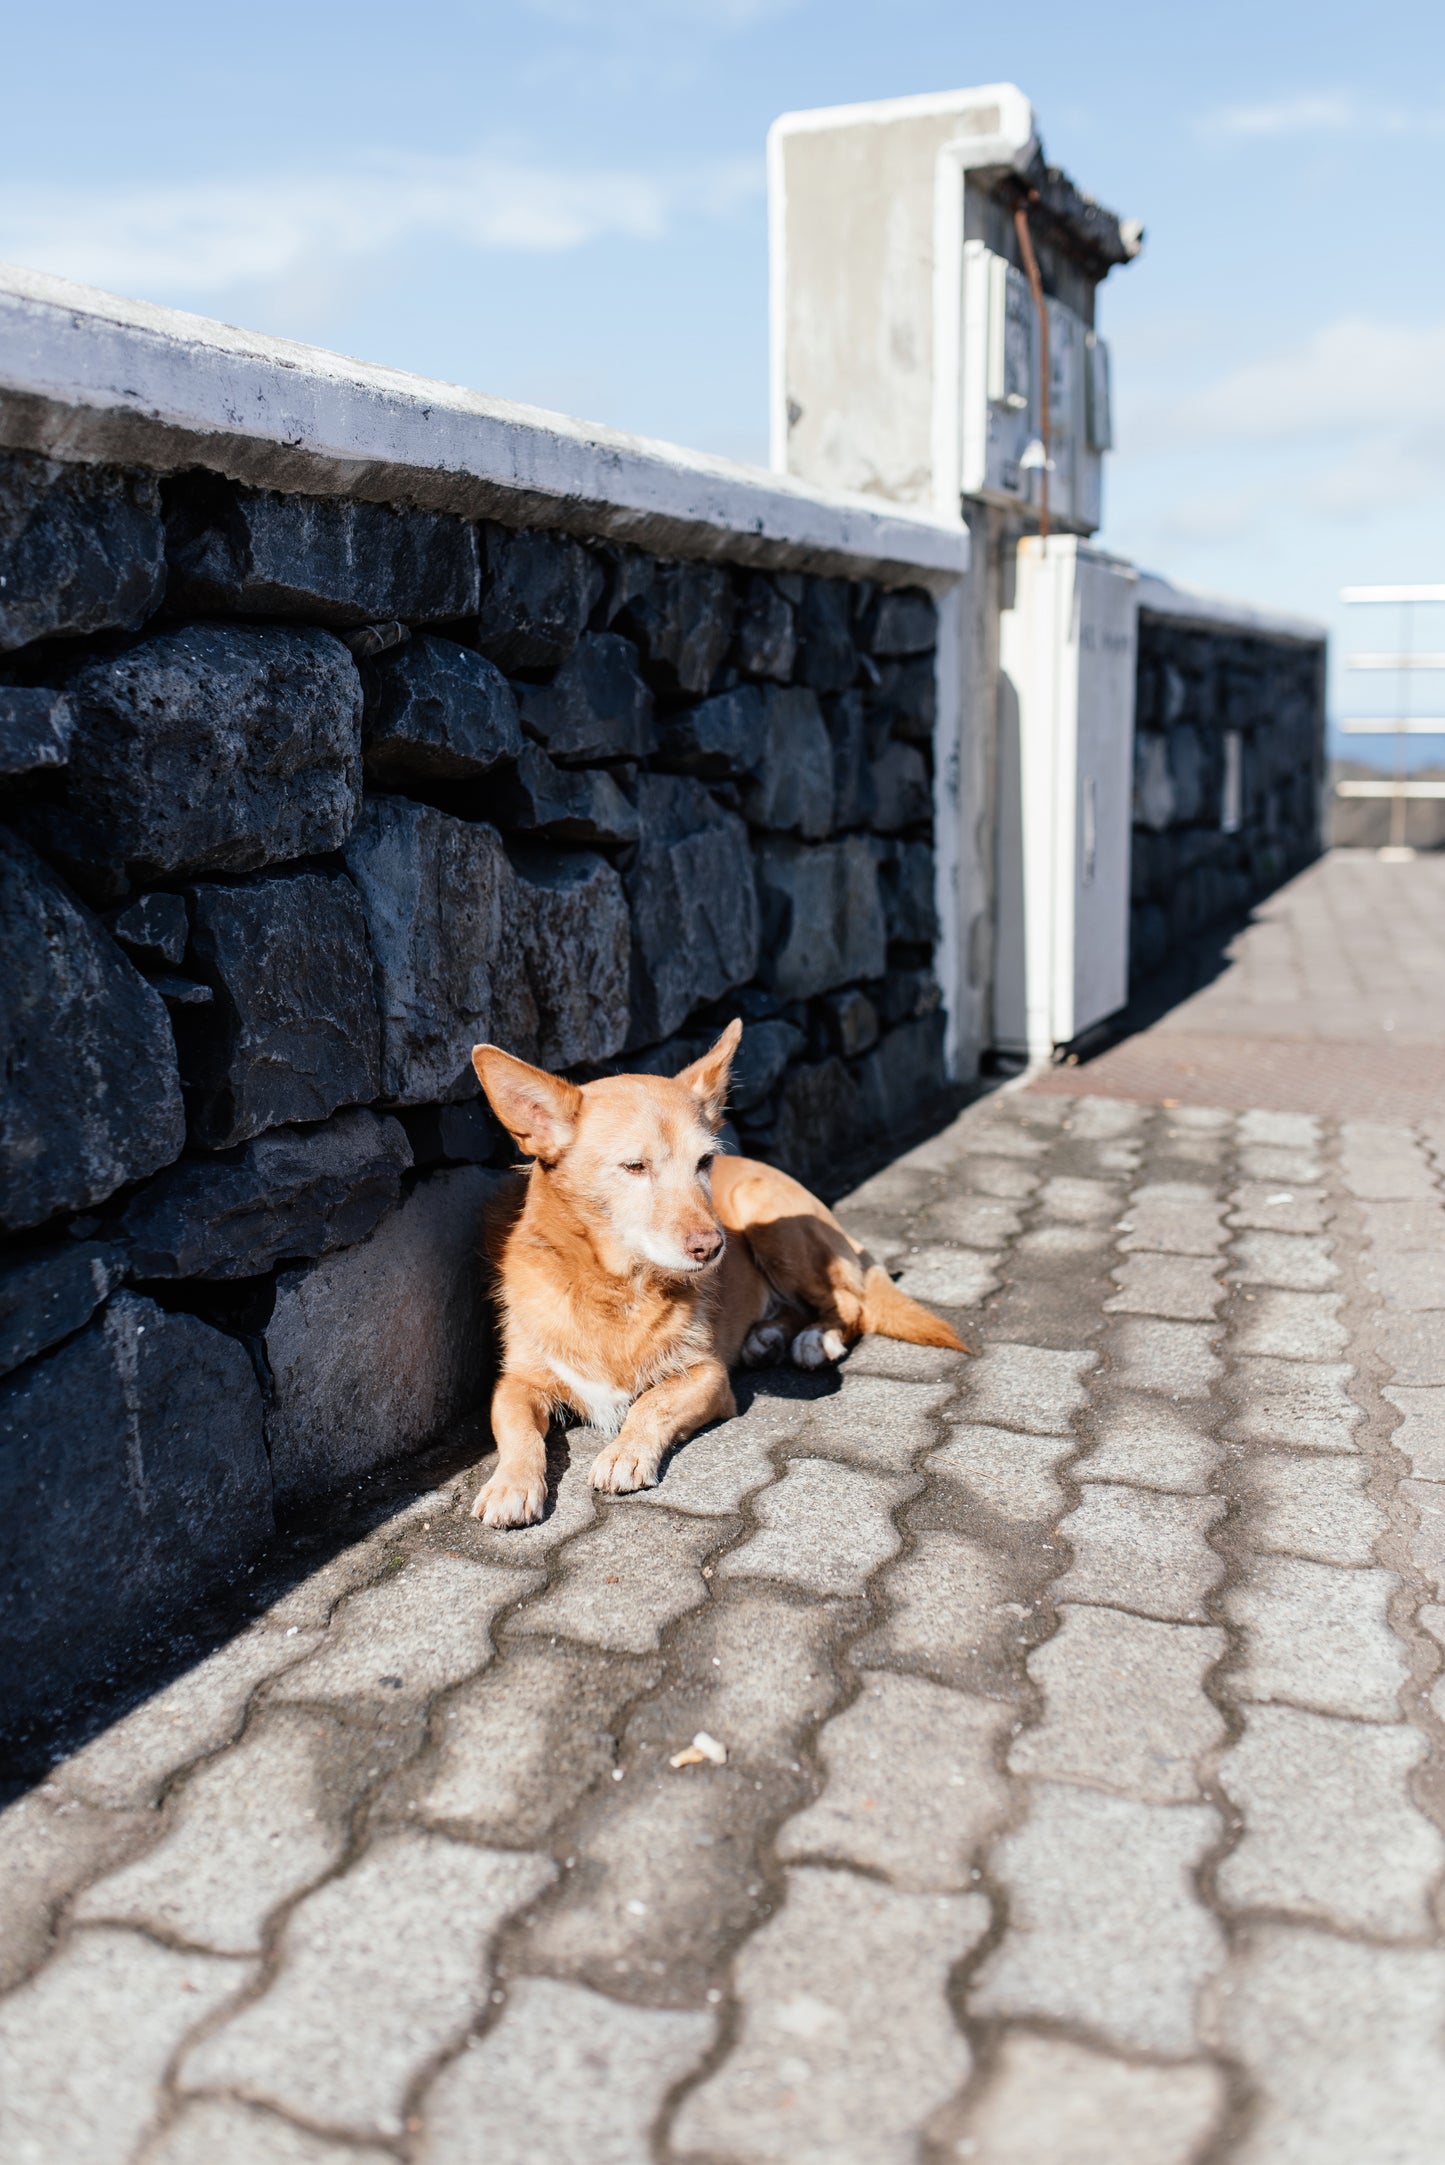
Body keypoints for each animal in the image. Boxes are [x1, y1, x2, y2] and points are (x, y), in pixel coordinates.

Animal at [470, 1013, 966, 1524]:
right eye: (634, 1166)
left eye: (705, 1161)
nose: (713, 1247)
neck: (616, 1288)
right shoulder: (515, 1384)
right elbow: (519, 1434)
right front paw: (511, 1484)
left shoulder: (708, 1376)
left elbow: (650, 1404)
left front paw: (625, 1452)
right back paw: (766, 1337)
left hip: (766, 1215)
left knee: (852, 1302)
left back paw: (815, 1339)